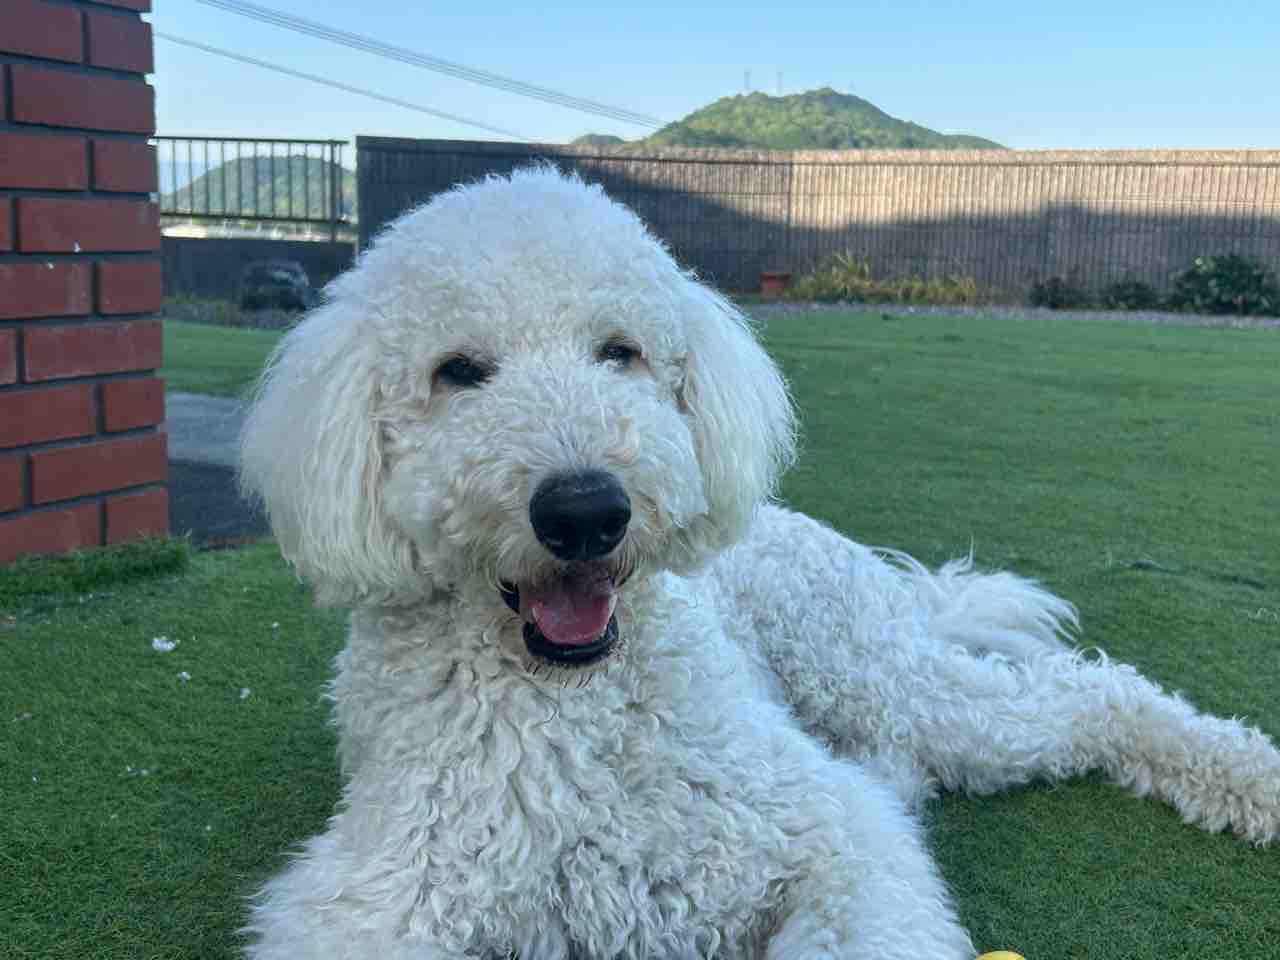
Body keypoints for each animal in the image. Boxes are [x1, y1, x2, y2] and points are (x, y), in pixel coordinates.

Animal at [239, 167, 1279, 959]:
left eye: (619, 352)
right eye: (458, 372)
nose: (586, 511)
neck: (574, 703)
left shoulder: (830, 831)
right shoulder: (378, 895)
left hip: (871, 673)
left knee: (1085, 695)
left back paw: (1248, 777)